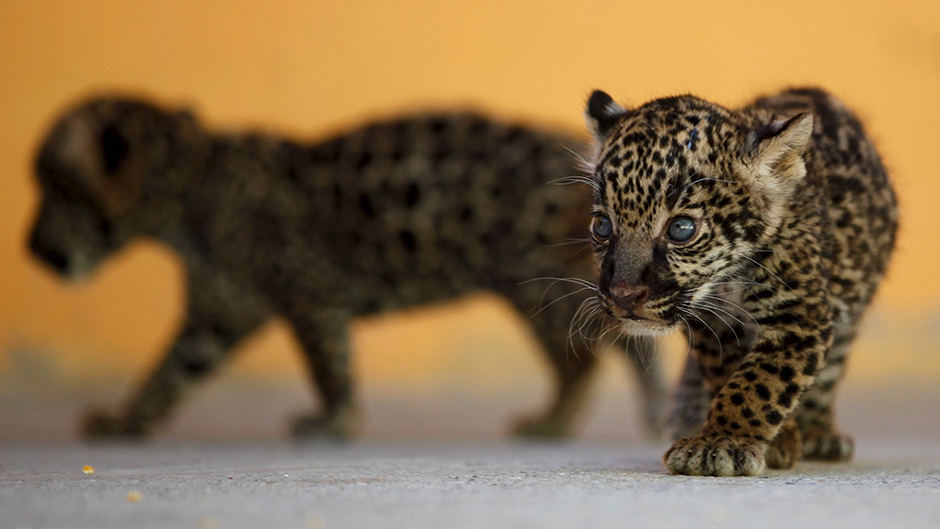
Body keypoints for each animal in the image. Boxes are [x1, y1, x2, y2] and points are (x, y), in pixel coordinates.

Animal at [27, 94, 667, 441]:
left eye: (51, 187)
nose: (30, 247)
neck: (187, 195)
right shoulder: (215, 313)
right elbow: (168, 372)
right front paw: (125, 422)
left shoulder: (310, 293)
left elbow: (326, 362)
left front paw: (335, 422)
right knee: (603, 353)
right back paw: (568, 421)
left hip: (550, 286)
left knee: (599, 354)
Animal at [582, 87, 898, 476]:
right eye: (602, 226)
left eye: (681, 229)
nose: (623, 296)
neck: (726, 280)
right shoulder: (712, 326)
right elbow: (731, 372)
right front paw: (763, 437)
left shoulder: (799, 317)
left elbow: (761, 381)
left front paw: (720, 443)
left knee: (830, 372)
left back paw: (818, 432)